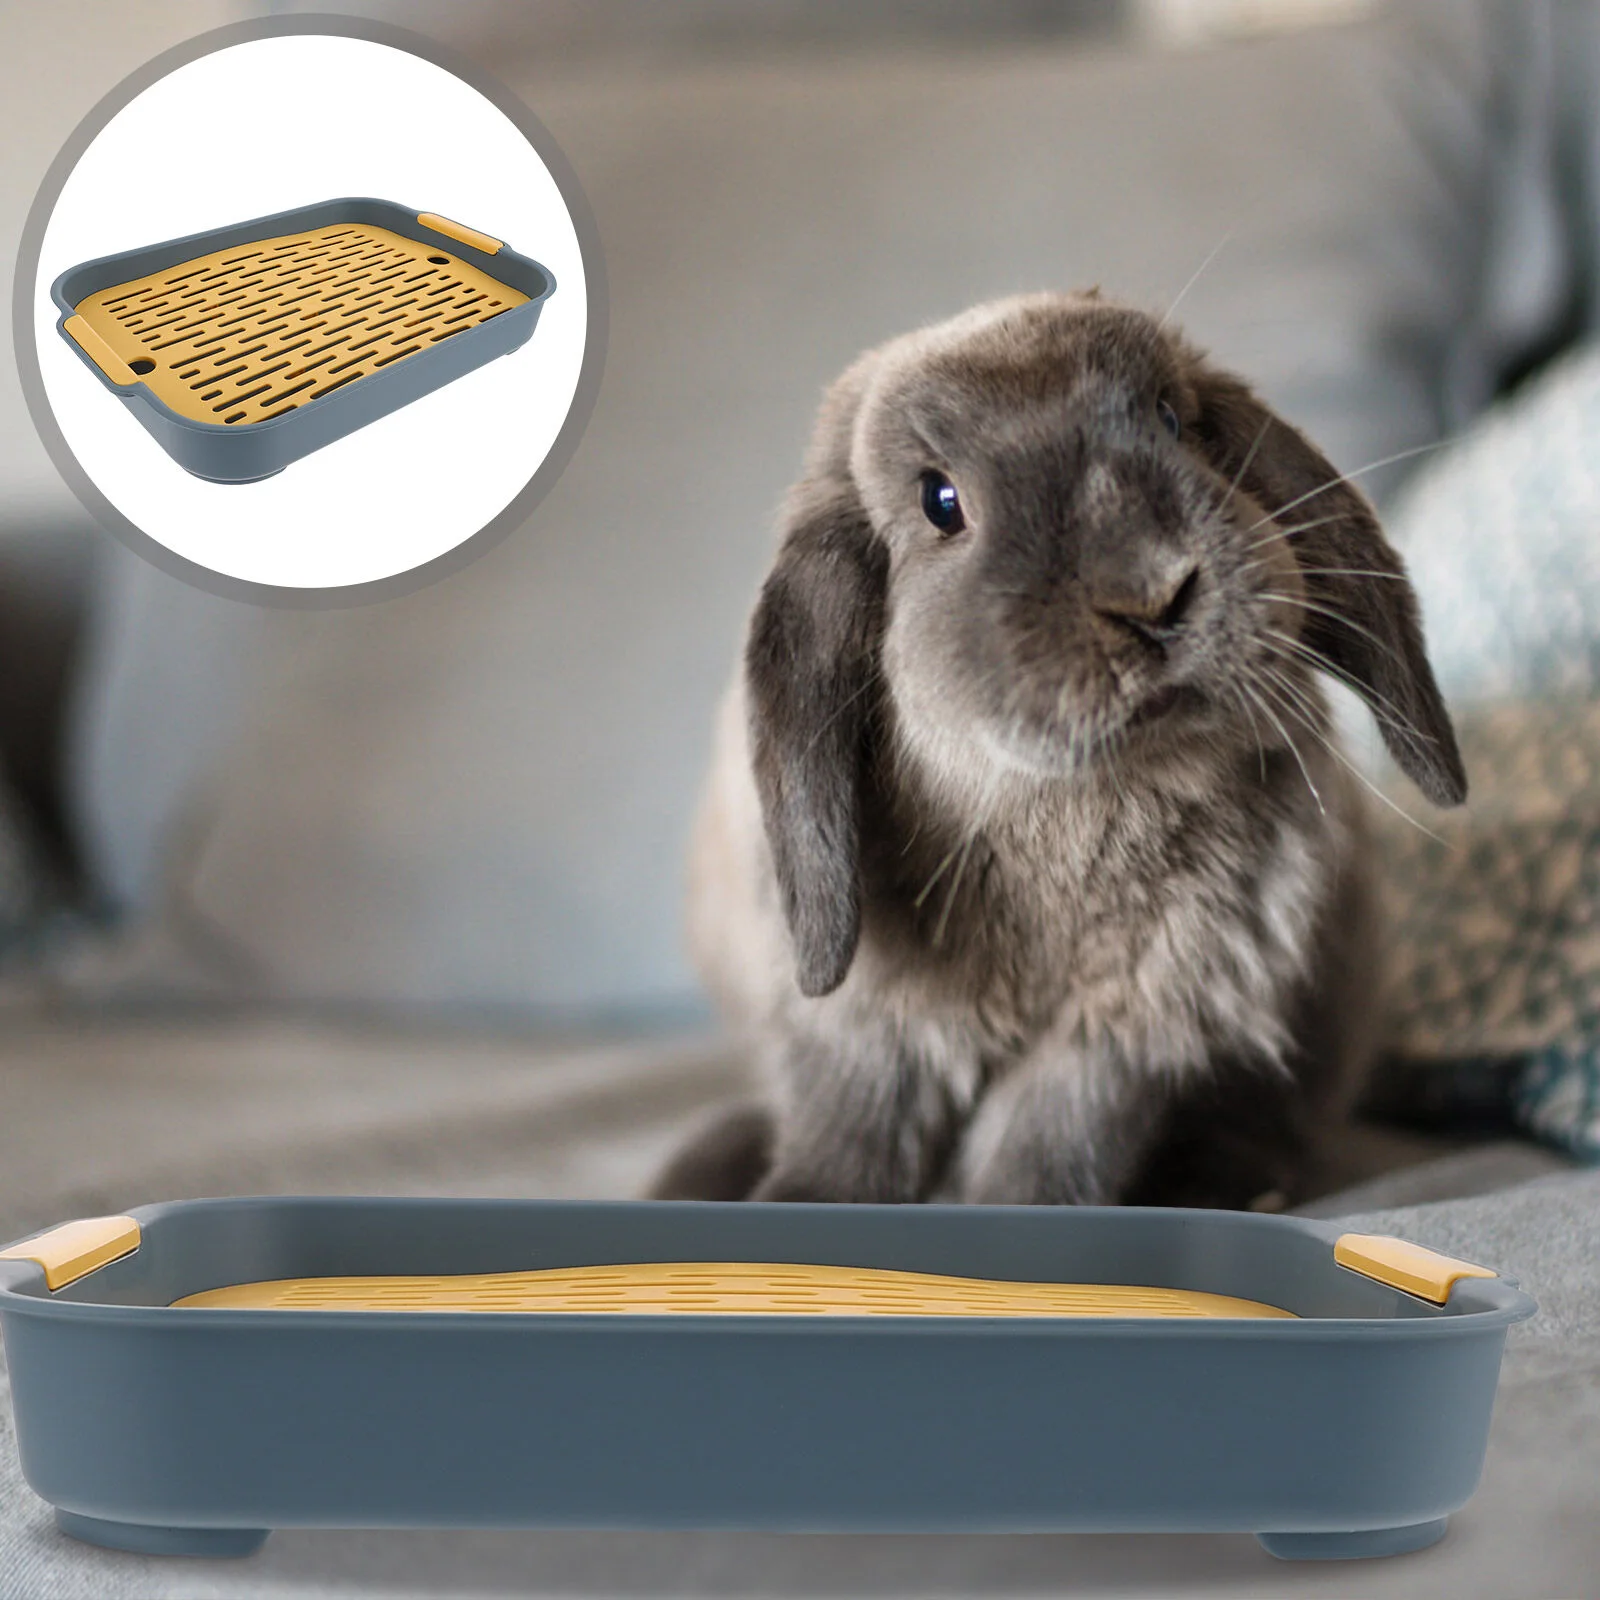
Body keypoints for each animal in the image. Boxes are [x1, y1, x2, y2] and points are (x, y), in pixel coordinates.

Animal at [652, 291, 1465, 1211]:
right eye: (940, 502)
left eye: (1171, 420)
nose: (1152, 593)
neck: (1066, 813)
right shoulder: (865, 1028)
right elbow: (852, 1129)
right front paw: (802, 1204)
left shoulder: (1123, 1032)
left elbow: (1049, 1142)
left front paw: (1022, 1216)